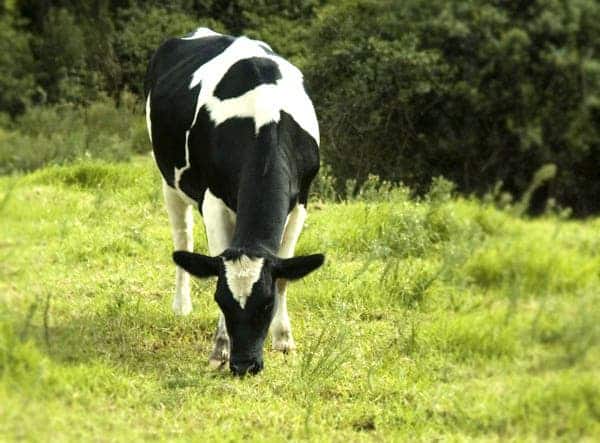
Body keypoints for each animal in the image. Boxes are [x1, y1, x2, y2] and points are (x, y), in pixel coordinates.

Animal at [144, 26, 324, 374]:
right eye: (220, 300)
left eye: (266, 304)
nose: (244, 365)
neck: (264, 120)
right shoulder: (212, 200)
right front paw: (220, 348)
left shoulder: (302, 202)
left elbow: (284, 275)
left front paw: (284, 340)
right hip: (169, 181)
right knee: (183, 240)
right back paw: (181, 305)